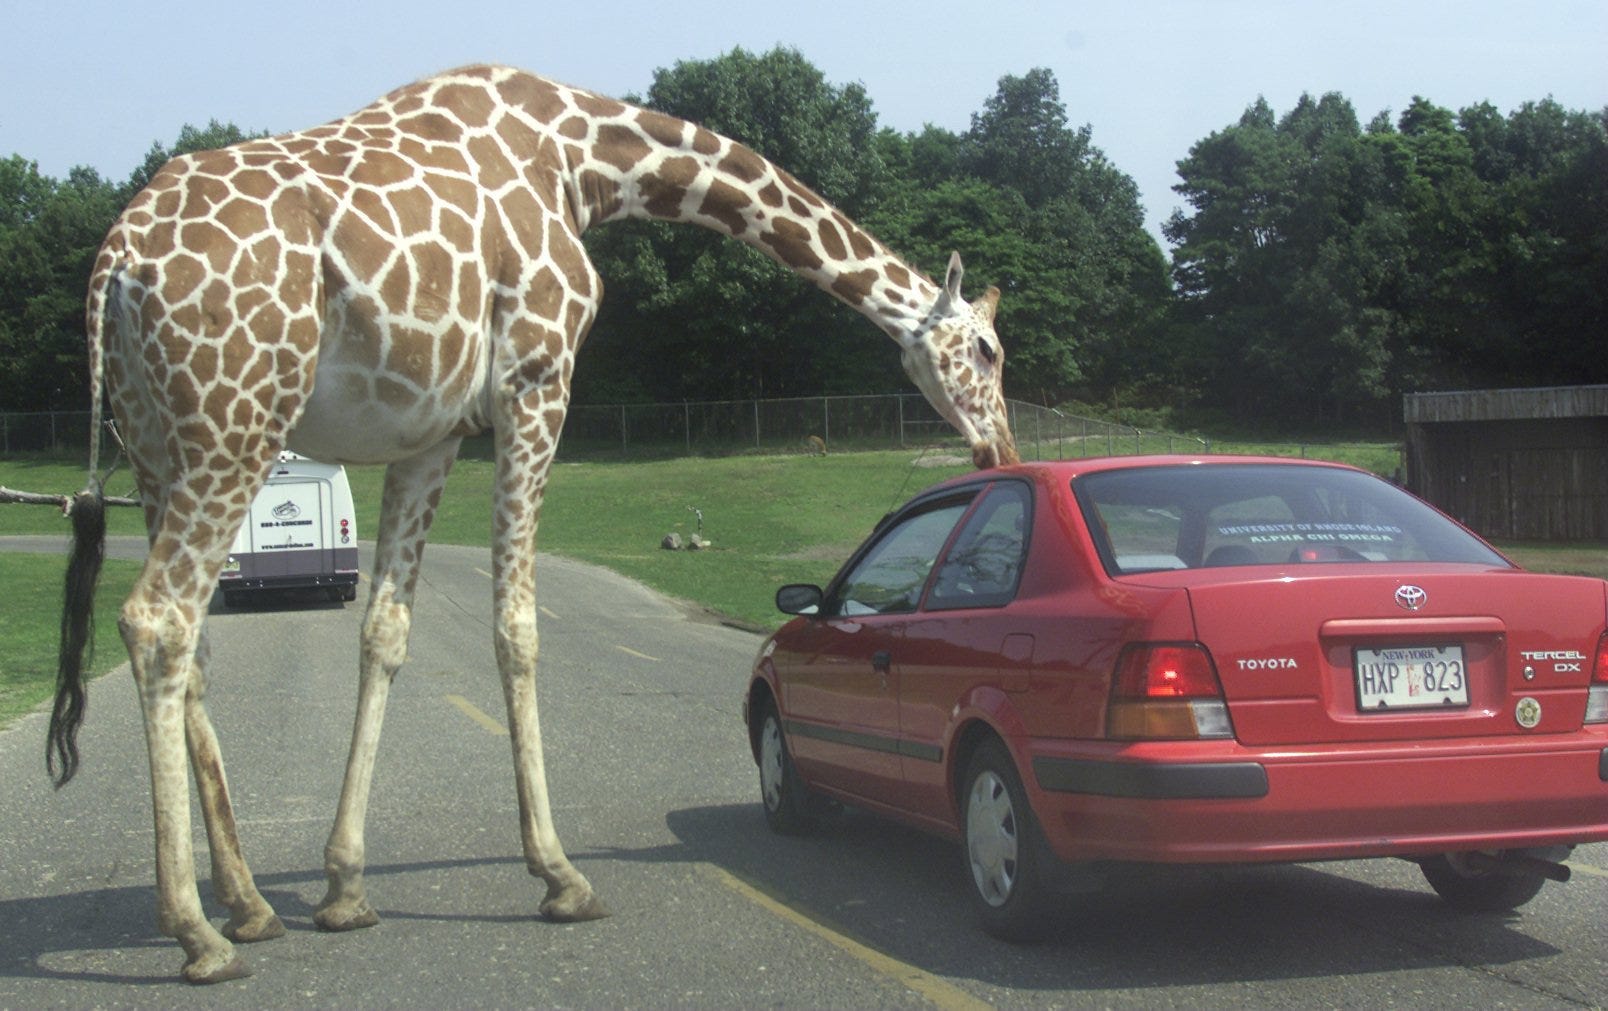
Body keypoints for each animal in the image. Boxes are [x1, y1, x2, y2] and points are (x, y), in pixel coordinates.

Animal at [53, 61, 1016, 977]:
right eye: (986, 349)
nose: (999, 447)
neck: (584, 161)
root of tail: (117, 264)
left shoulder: (432, 431)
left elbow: (384, 632)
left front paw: (345, 887)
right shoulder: (536, 377)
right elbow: (518, 627)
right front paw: (560, 874)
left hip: (159, 444)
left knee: (196, 643)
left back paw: (249, 903)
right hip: (240, 418)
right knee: (156, 617)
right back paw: (195, 933)